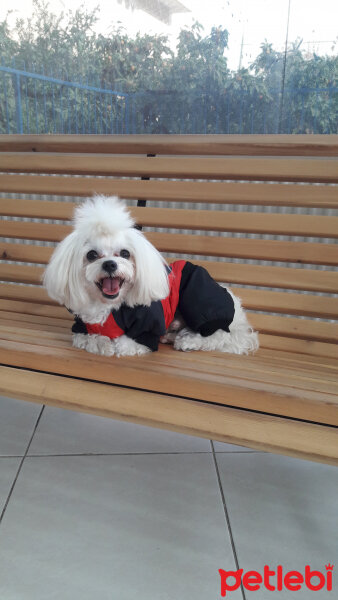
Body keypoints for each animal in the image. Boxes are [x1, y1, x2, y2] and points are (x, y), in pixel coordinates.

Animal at [43, 196, 258, 356]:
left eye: (125, 253)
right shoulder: (81, 328)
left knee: (218, 334)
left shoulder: (146, 329)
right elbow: (85, 338)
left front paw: (108, 344)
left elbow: (123, 344)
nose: (110, 264)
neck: (109, 307)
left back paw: (188, 341)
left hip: (197, 294)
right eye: (92, 255)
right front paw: (99, 342)